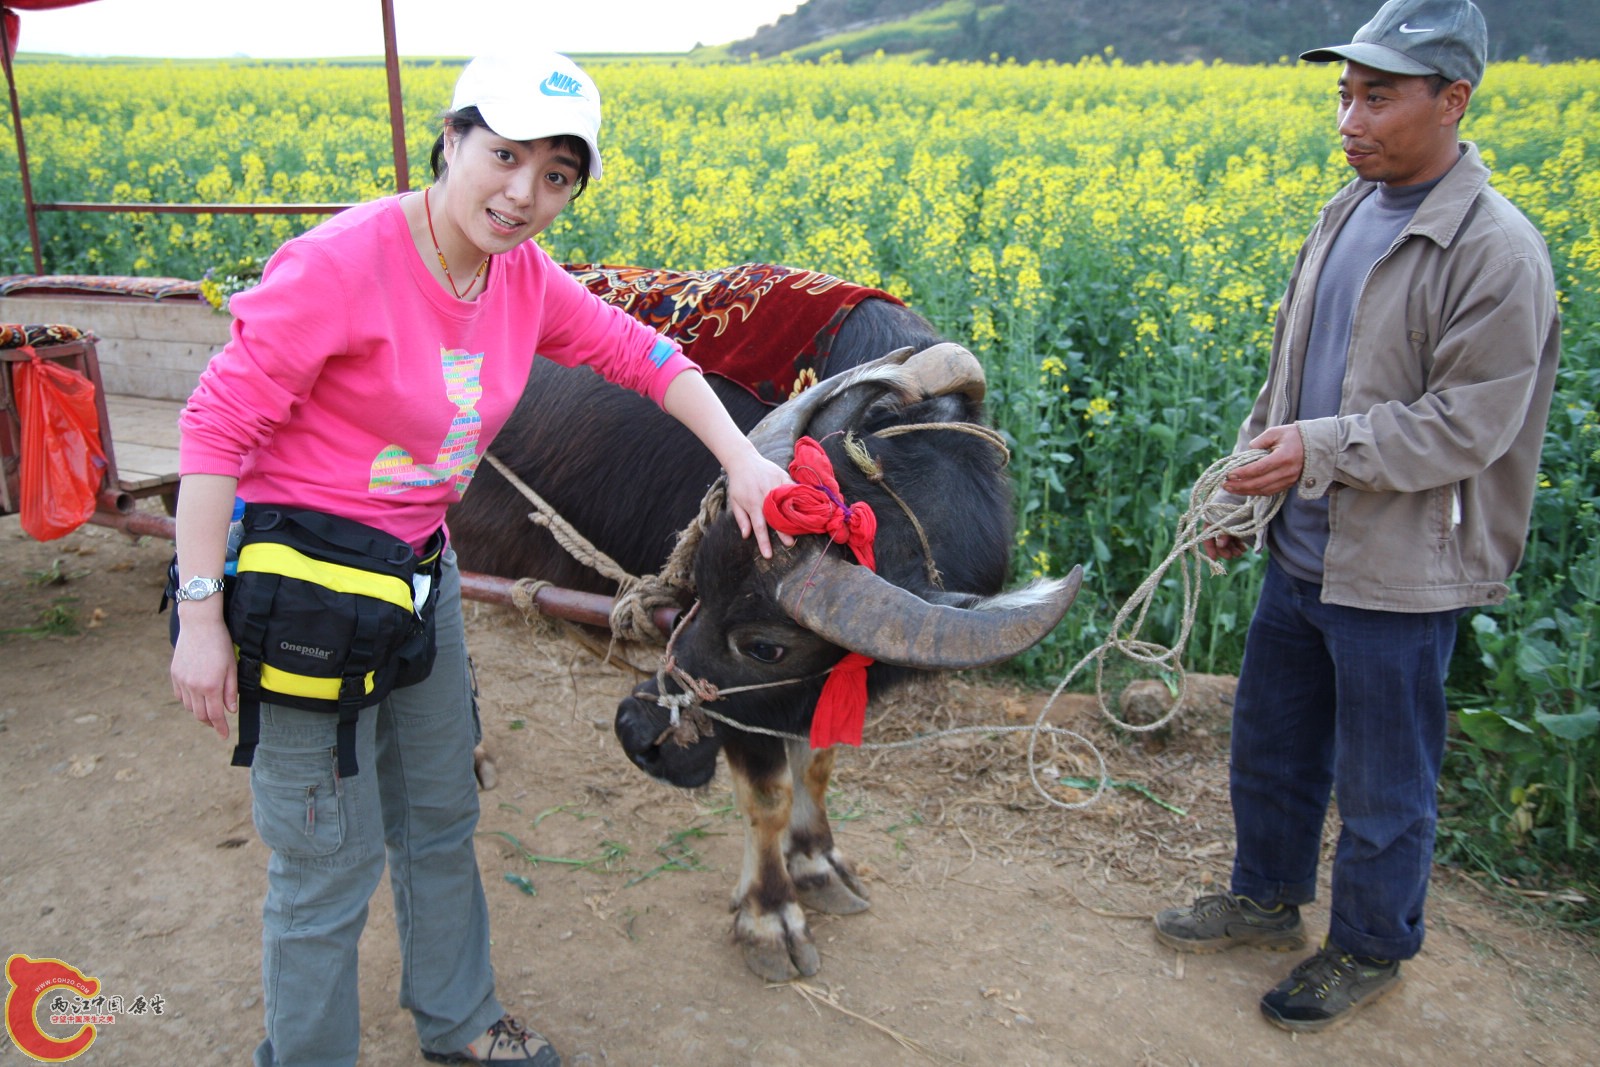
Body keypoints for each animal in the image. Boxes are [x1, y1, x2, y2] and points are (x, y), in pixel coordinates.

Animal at [448, 265, 1088, 979]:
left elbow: (818, 766)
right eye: (697, 585)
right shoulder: (746, 717)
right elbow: (768, 795)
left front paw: (818, 862)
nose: (635, 733)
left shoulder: (815, 685)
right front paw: (770, 915)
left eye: (765, 647)